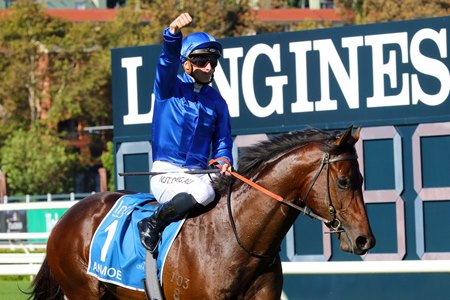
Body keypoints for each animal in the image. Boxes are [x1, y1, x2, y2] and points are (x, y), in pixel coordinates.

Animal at [27, 127, 372, 300]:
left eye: (362, 179)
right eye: (343, 181)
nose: (365, 239)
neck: (236, 240)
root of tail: (69, 215)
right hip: (83, 293)